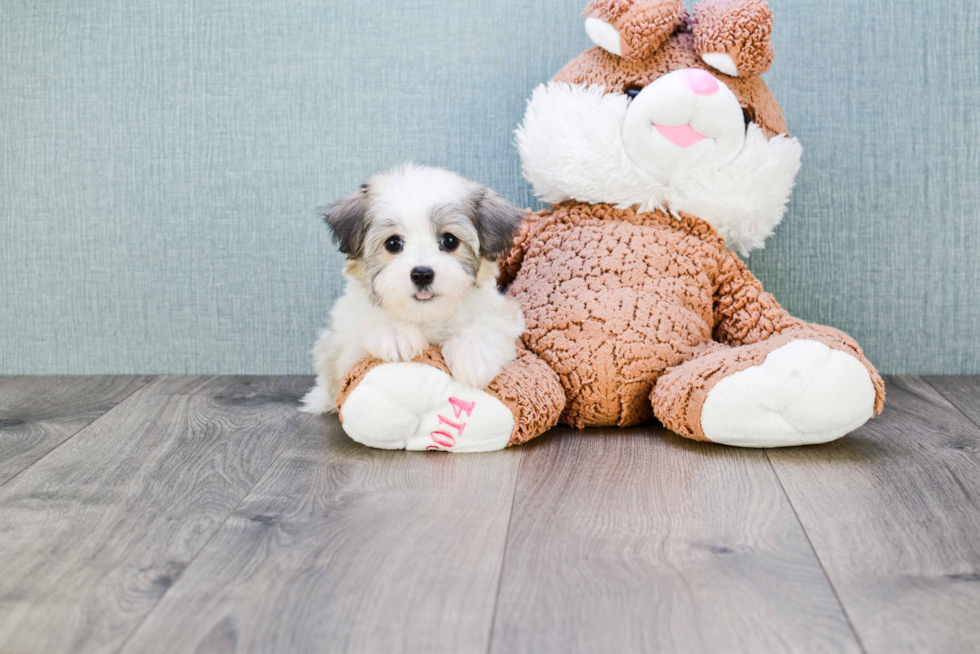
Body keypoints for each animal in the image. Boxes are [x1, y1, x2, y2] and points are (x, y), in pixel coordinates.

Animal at [300, 163, 524, 416]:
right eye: (393, 243)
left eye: (449, 241)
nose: (422, 274)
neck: (424, 317)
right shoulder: (342, 345)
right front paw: (395, 334)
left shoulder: (504, 315)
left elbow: (488, 325)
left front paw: (472, 353)